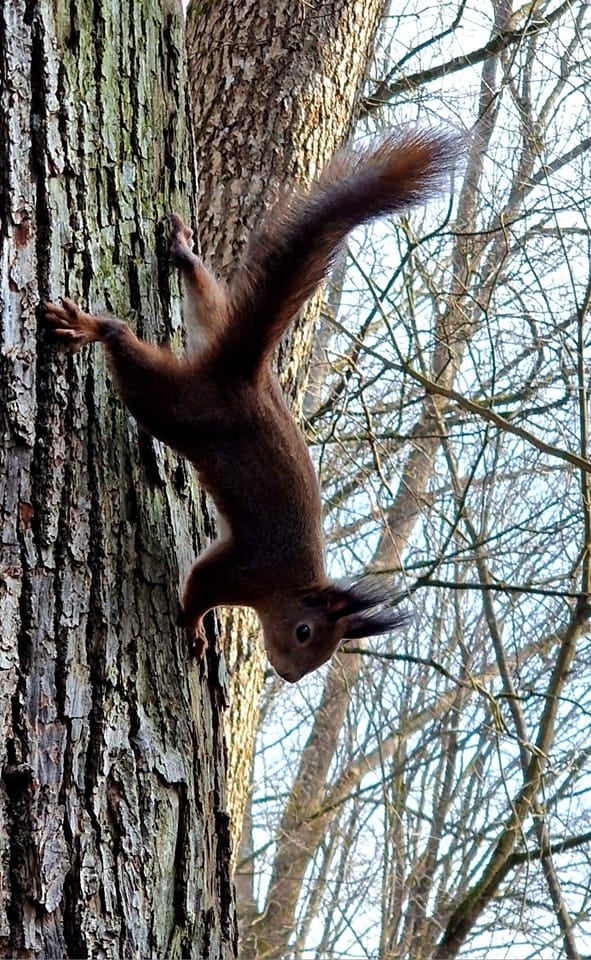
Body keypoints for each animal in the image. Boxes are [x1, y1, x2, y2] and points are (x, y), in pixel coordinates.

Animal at [45, 127, 462, 684]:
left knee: (207, 300)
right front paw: (196, 627)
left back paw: (184, 253)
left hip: (204, 341)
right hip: (180, 407)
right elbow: (200, 587)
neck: (287, 586)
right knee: (125, 346)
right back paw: (91, 326)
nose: (289, 676)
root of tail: (245, 375)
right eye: (305, 632)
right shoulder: (243, 571)